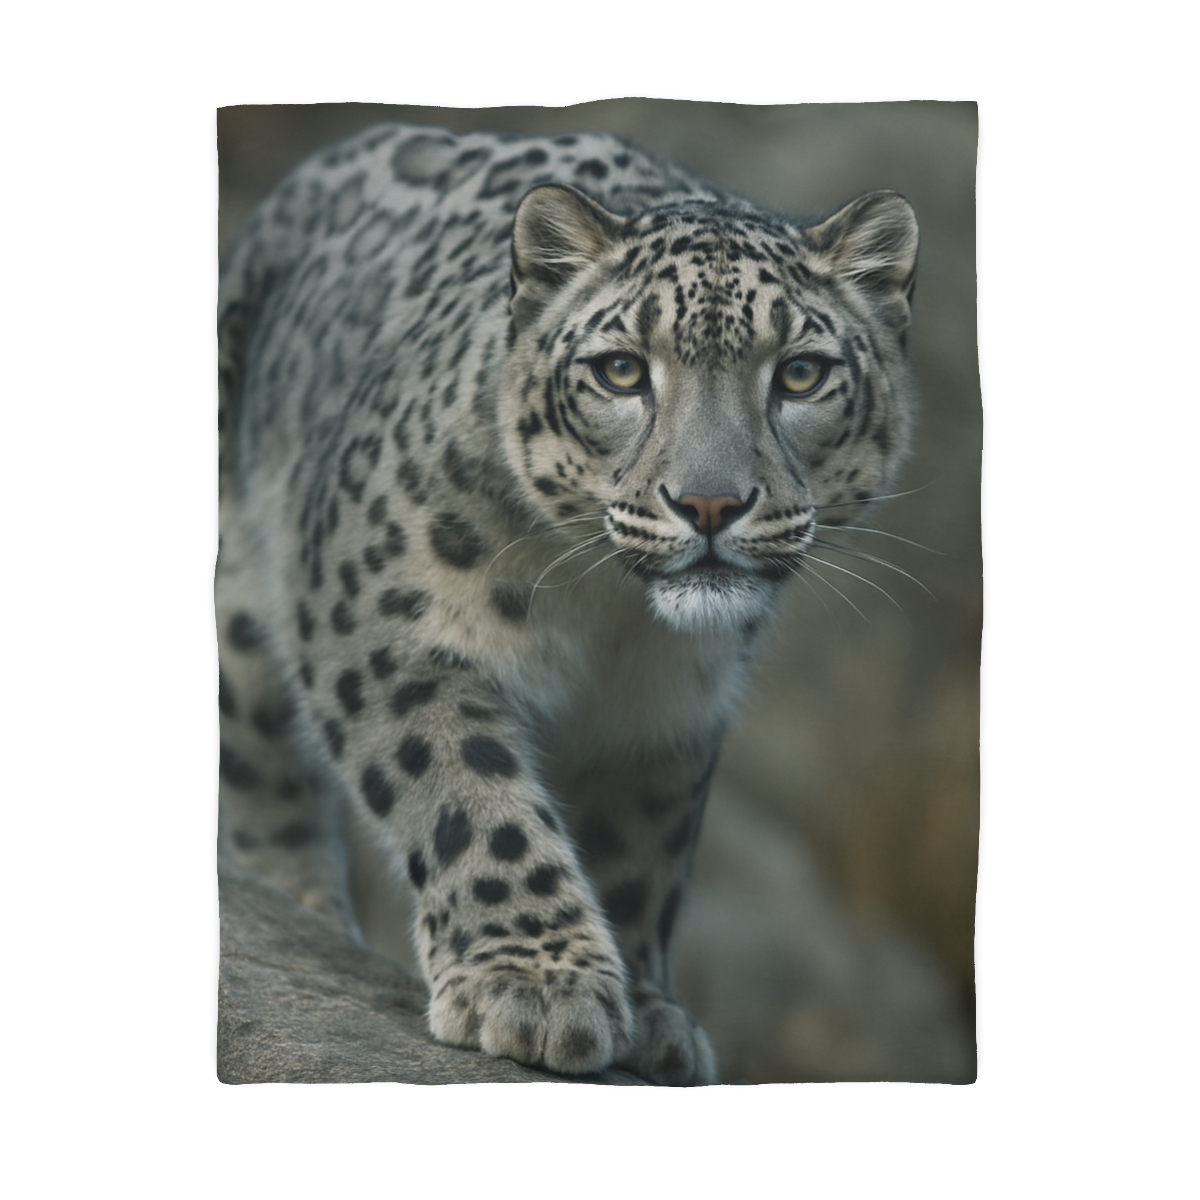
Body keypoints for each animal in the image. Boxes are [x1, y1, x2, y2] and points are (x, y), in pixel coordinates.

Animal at [216, 121, 919, 1086]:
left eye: (802, 375)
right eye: (620, 371)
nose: (709, 503)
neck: (609, 619)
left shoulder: (667, 714)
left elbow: (641, 849)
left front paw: (653, 1014)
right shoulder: (389, 625)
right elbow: (468, 795)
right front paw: (537, 986)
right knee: (259, 776)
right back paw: (306, 912)